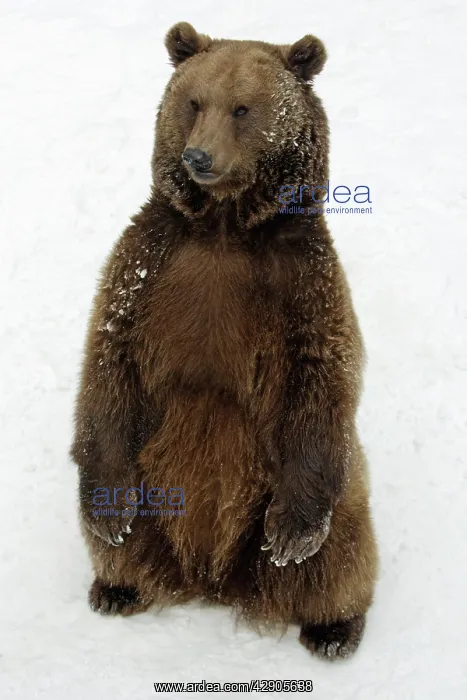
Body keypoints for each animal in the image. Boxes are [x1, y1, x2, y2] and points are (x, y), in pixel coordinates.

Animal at [71, 22, 378, 660]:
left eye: (243, 108)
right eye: (194, 102)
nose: (198, 156)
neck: (223, 225)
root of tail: (211, 579)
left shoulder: (304, 283)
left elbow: (324, 370)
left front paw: (293, 535)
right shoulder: (146, 267)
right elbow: (108, 358)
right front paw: (108, 513)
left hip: (319, 494)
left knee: (340, 555)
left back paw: (334, 628)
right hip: (152, 484)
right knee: (127, 541)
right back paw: (116, 587)